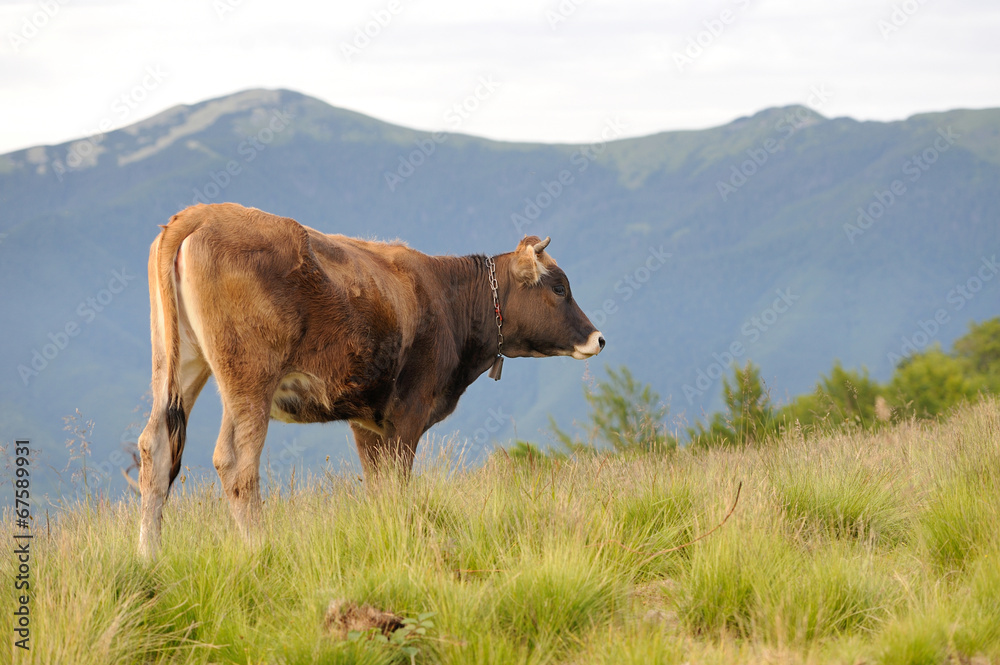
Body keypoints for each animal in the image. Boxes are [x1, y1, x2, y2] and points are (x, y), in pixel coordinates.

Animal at [137, 202, 604, 556]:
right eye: (559, 288)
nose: (598, 338)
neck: (448, 298)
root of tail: (203, 212)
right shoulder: (408, 413)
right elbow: (396, 486)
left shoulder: (368, 422)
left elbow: (378, 489)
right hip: (249, 373)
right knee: (235, 462)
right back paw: (259, 550)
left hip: (179, 363)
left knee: (154, 448)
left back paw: (149, 557)